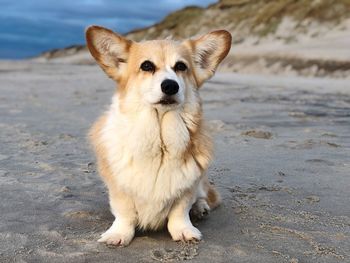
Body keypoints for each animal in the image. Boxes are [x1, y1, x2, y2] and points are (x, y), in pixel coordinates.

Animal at [86, 25, 231, 246]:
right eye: (146, 66)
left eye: (181, 66)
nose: (170, 85)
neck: (160, 137)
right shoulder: (119, 188)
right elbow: (124, 212)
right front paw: (118, 234)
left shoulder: (188, 186)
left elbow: (180, 211)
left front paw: (184, 230)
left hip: (201, 182)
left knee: (203, 196)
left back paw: (200, 208)